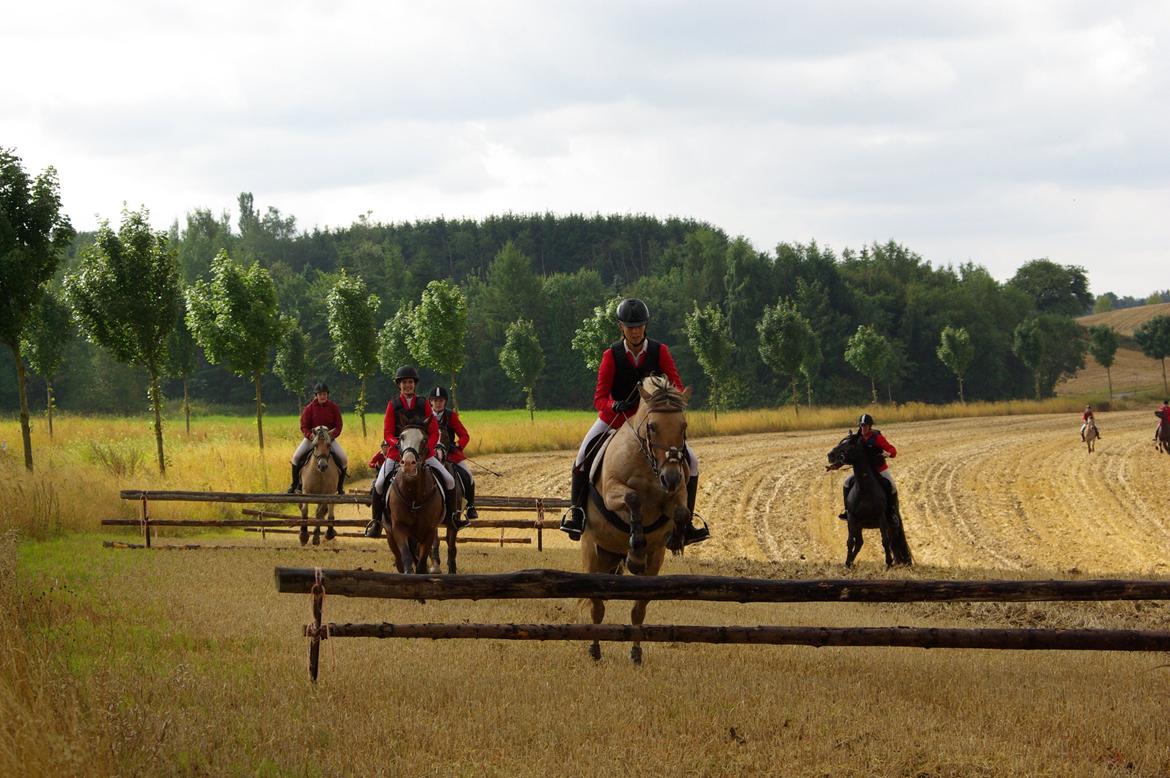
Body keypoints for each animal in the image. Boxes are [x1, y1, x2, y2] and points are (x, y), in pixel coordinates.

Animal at [381, 425, 444, 570]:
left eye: (424, 440)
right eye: (401, 437)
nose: (409, 464)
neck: (413, 496)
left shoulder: (429, 532)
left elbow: (421, 564)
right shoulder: (399, 528)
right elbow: (406, 559)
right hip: (390, 535)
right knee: (399, 559)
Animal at [580, 374, 687, 664]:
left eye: (683, 426)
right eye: (652, 426)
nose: (671, 478)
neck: (648, 463)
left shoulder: (674, 498)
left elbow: (680, 512)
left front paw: (675, 537)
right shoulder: (613, 492)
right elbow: (633, 498)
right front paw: (635, 550)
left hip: (653, 561)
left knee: (639, 607)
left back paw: (636, 653)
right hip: (593, 551)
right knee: (596, 605)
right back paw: (594, 650)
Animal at [823, 428, 912, 568]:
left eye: (850, 444)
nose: (830, 455)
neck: (864, 489)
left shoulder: (881, 517)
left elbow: (885, 541)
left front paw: (888, 563)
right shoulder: (852, 518)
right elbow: (850, 541)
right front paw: (847, 564)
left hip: (892, 524)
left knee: (894, 540)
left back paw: (899, 562)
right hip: (858, 525)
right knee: (860, 542)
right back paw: (851, 562)